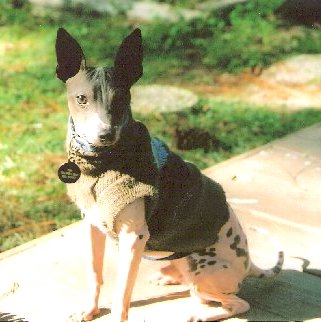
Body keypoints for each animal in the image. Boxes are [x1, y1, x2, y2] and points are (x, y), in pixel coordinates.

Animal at [55, 28, 282, 322]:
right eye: (81, 99)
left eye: (122, 100)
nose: (105, 135)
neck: (101, 165)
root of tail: (249, 264)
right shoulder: (93, 226)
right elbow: (95, 273)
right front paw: (90, 308)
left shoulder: (134, 238)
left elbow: (122, 294)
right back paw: (170, 276)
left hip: (204, 274)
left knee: (236, 304)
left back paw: (201, 314)